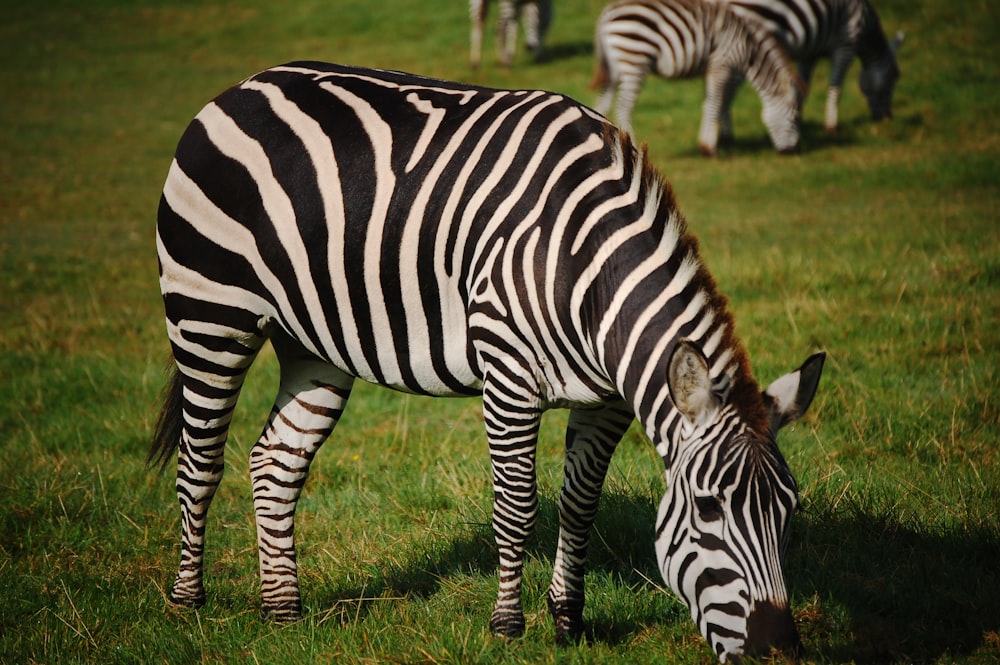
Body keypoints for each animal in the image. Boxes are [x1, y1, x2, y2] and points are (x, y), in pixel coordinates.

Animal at [152, 61, 828, 660]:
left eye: (791, 511)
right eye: (710, 509)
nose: (778, 650)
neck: (586, 270)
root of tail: (241, 87)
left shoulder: (607, 402)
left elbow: (580, 503)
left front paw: (568, 620)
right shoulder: (508, 378)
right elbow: (516, 504)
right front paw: (507, 625)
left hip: (312, 341)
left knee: (276, 462)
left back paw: (284, 613)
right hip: (209, 314)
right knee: (200, 461)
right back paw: (188, 603)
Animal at [588, 0, 800, 156]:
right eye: (793, 118)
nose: (793, 151)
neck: (749, 48)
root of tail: (606, 15)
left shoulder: (711, 68)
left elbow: (709, 102)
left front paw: (710, 142)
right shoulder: (722, 63)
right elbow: (717, 102)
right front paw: (710, 148)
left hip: (615, 67)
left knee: (602, 103)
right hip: (634, 58)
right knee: (623, 106)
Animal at [716, 0, 904, 133]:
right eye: (895, 77)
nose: (887, 118)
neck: (865, 22)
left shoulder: (809, 53)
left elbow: (801, 88)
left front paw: (797, 121)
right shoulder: (846, 44)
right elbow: (836, 88)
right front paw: (831, 126)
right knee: (726, 90)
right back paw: (725, 135)